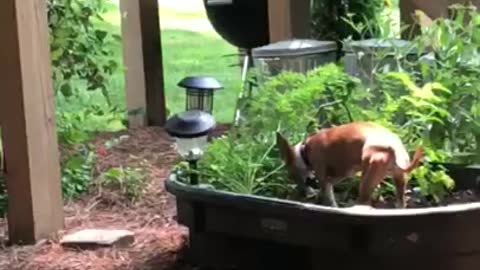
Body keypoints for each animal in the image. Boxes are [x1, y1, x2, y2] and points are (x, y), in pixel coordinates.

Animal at [276, 121, 422, 208]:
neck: (304, 150)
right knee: (401, 202)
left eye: (291, 174)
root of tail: (393, 148)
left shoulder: (322, 175)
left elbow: (328, 196)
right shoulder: (342, 173)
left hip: (366, 180)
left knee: (363, 203)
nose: (300, 194)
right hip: (399, 179)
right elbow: (328, 187)